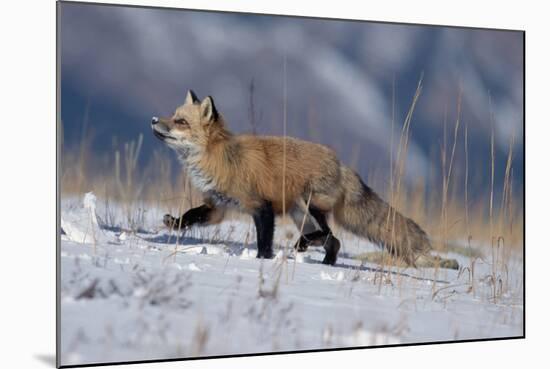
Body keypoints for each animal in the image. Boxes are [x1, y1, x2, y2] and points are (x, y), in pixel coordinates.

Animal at [152, 89, 462, 268]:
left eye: (181, 122)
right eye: (173, 115)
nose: (154, 120)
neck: (222, 157)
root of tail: (342, 164)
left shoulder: (262, 207)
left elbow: (264, 241)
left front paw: (262, 261)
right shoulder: (218, 207)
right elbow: (191, 214)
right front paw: (174, 223)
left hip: (308, 204)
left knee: (327, 233)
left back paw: (305, 246)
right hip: (299, 213)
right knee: (334, 240)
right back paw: (326, 263)